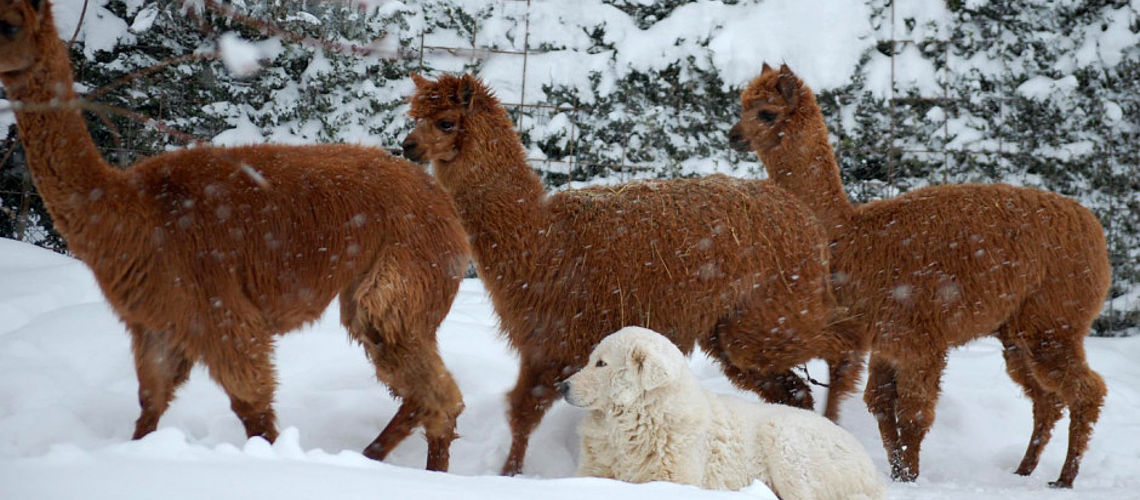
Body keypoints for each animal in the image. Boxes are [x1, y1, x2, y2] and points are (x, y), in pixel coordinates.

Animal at [556, 328, 884, 498]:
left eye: (601, 363)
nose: (562, 386)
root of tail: (872, 471)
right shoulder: (593, 470)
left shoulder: (675, 479)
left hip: (786, 444)